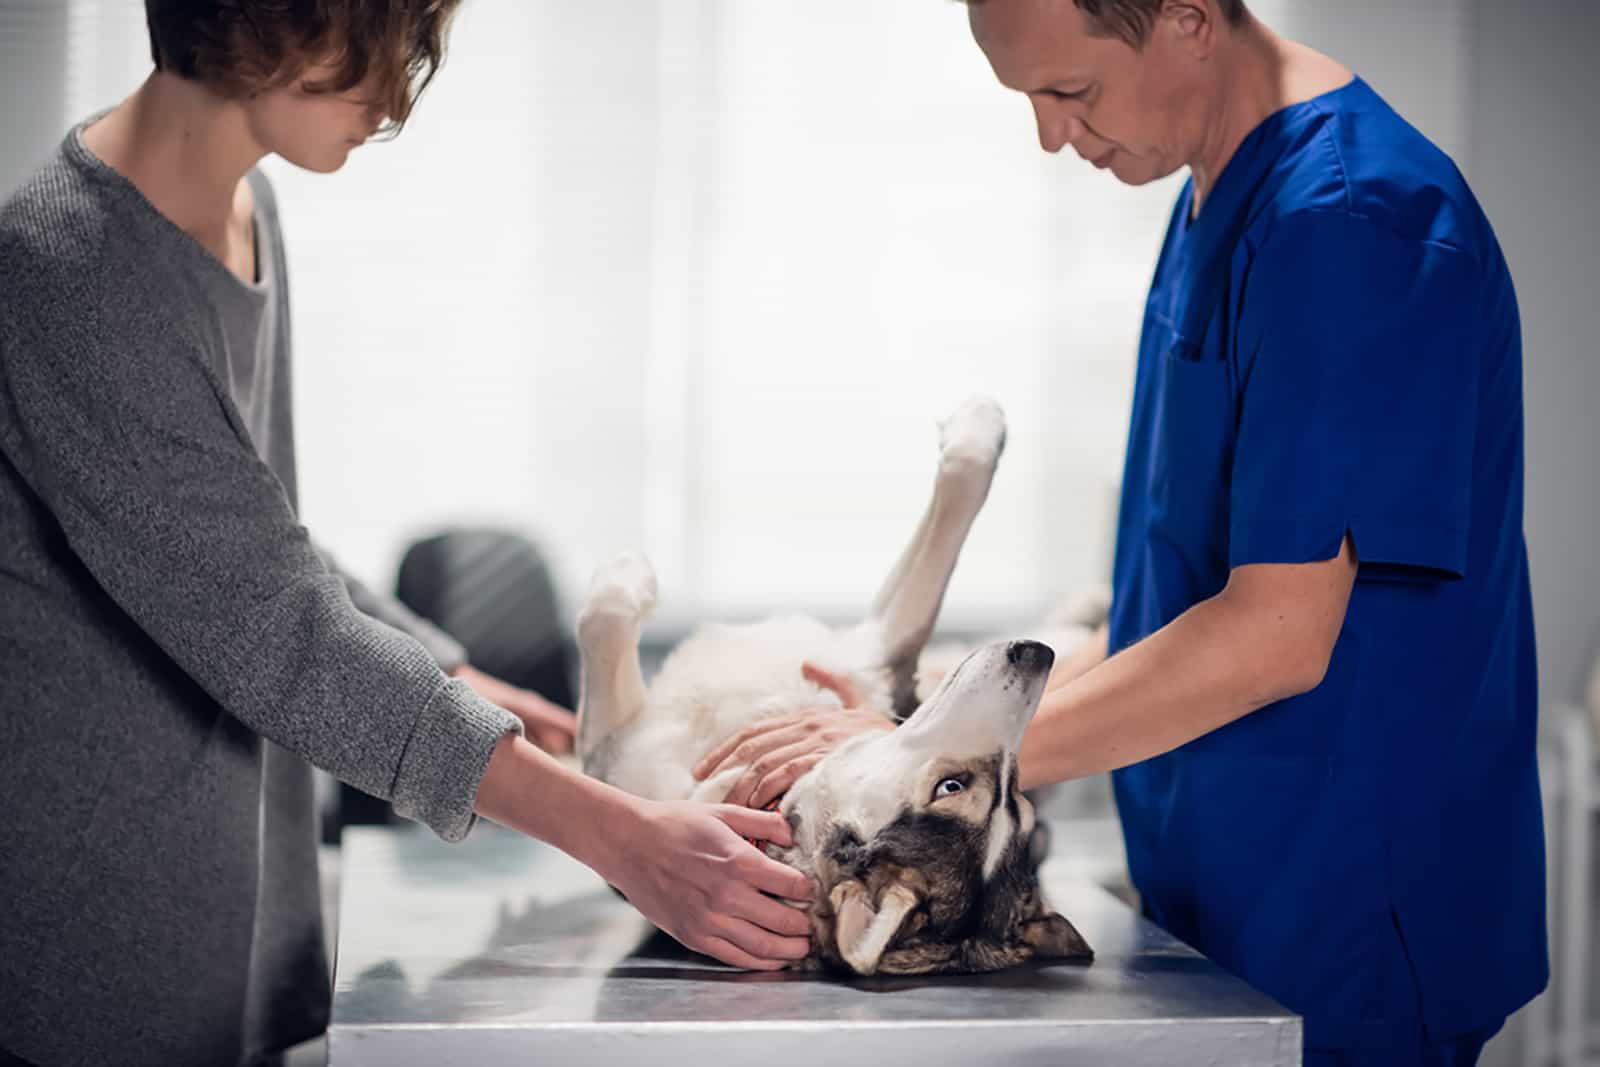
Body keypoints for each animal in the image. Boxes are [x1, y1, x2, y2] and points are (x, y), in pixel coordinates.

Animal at [582, 398, 1094, 979]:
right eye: (1012, 798)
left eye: (954, 787)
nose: (1035, 657)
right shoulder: (876, 646)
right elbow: (964, 479)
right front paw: (979, 425)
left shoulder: (607, 747)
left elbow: (603, 618)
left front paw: (628, 571)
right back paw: (1086, 610)